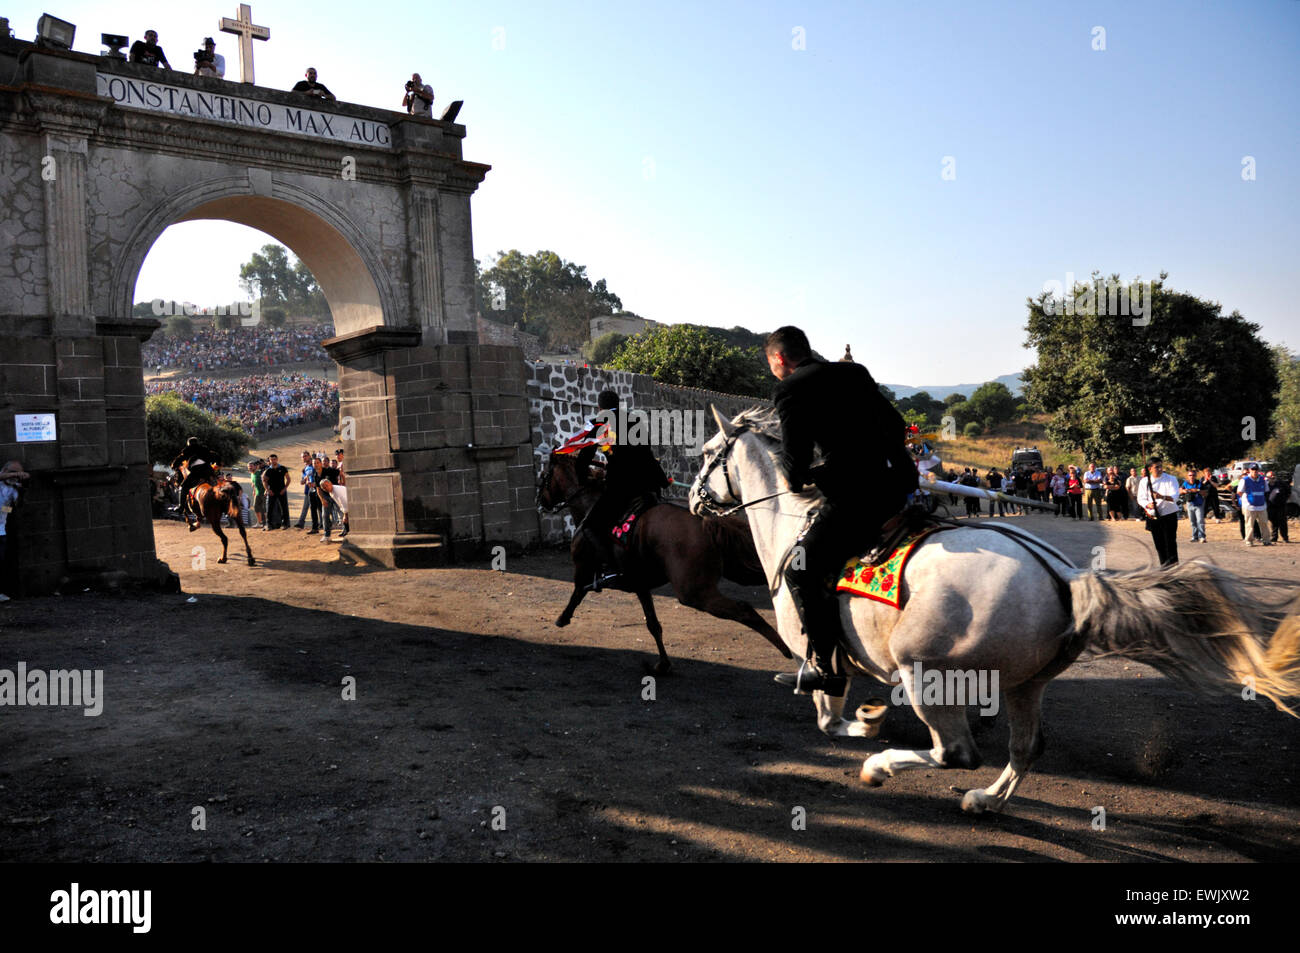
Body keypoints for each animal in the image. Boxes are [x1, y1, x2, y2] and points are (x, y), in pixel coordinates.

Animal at [535, 449, 785, 670]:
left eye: (544, 476)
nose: (541, 502)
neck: (589, 505)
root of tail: (705, 521)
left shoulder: (582, 567)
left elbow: (578, 592)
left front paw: (563, 618)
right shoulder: (640, 585)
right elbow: (653, 624)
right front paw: (663, 664)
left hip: (694, 592)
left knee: (744, 610)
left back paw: (786, 650)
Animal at [686, 405, 1294, 816]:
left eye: (711, 449)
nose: (693, 498)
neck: (791, 526)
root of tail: (1064, 575)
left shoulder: (822, 658)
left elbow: (830, 719)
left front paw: (868, 725)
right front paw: (871, 717)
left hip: (925, 670)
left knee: (956, 752)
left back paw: (884, 770)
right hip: (1027, 683)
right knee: (1025, 748)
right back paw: (986, 801)